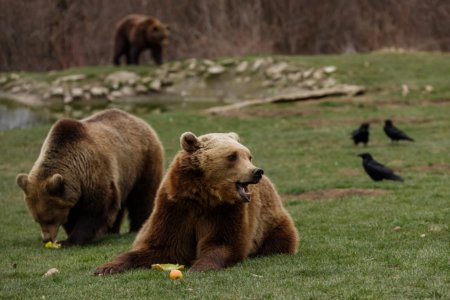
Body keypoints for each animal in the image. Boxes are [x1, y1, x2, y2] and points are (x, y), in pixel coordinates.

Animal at [17, 108, 166, 246]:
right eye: (37, 219)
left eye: (50, 219)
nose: (46, 239)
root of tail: (138, 119)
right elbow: (72, 212)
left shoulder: (93, 172)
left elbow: (95, 208)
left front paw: (71, 240)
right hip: (124, 176)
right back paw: (112, 230)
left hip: (141, 161)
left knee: (142, 196)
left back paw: (137, 227)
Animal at [95, 131, 298, 274]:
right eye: (232, 156)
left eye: (248, 156)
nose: (256, 171)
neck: (203, 196)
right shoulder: (175, 208)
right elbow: (162, 246)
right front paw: (106, 267)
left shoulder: (226, 211)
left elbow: (222, 243)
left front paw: (199, 266)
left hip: (269, 221)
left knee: (279, 237)